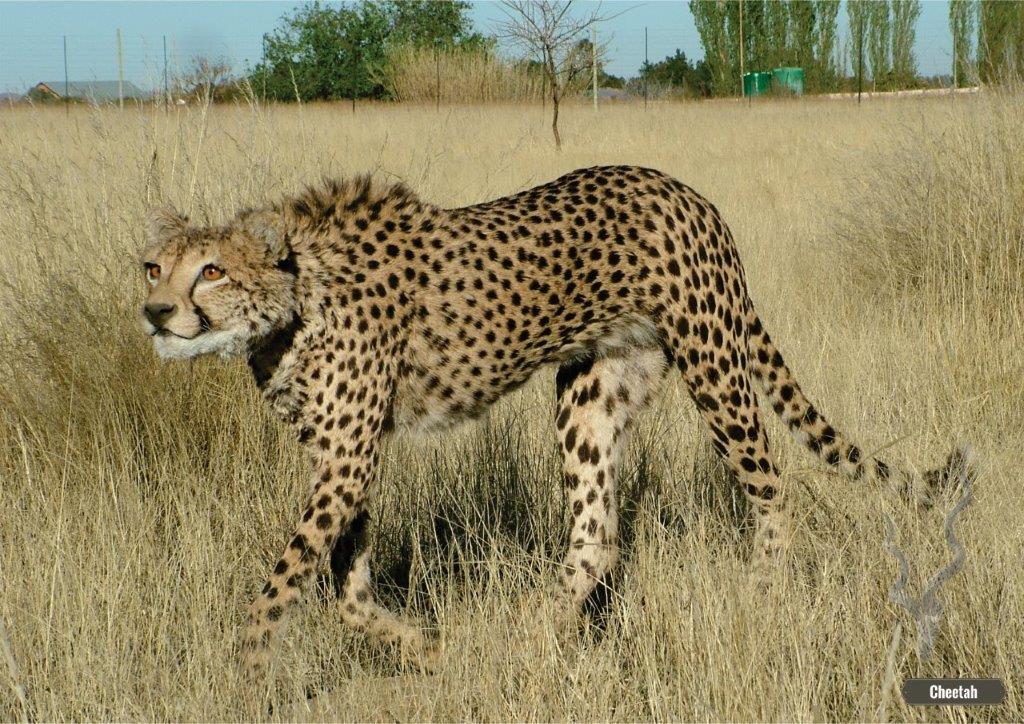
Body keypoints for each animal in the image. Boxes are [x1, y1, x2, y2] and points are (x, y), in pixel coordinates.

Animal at [139, 165, 968, 680]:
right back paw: (526, 629)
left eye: (211, 270)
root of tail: (683, 190)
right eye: (153, 266)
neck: (294, 300)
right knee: (597, 533)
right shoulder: (341, 458)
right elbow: (346, 588)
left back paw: (762, 595)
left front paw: (247, 670)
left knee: (770, 486)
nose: (154, 311)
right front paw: (426, 647)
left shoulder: (346, 459)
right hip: (592, 395)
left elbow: (279, 583)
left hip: (714, 365)